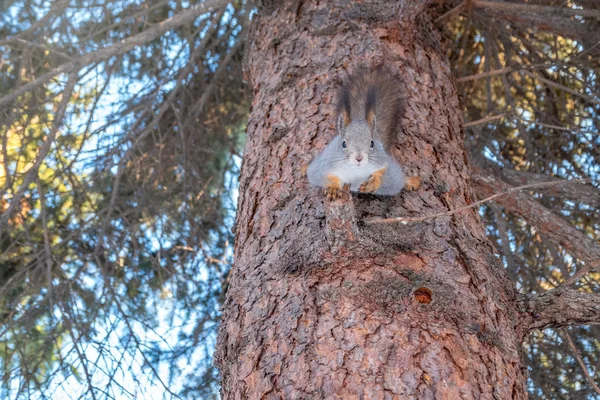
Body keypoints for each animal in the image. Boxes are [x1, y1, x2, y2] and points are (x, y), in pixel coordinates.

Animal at [308, 67, 414, 203]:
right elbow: (318, 175)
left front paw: (374, 182)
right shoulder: (324, 164)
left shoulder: (385, 164)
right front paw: (332, 187)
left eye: (372, 143)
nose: (359, 158)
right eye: (343, 143)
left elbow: (392, 178)